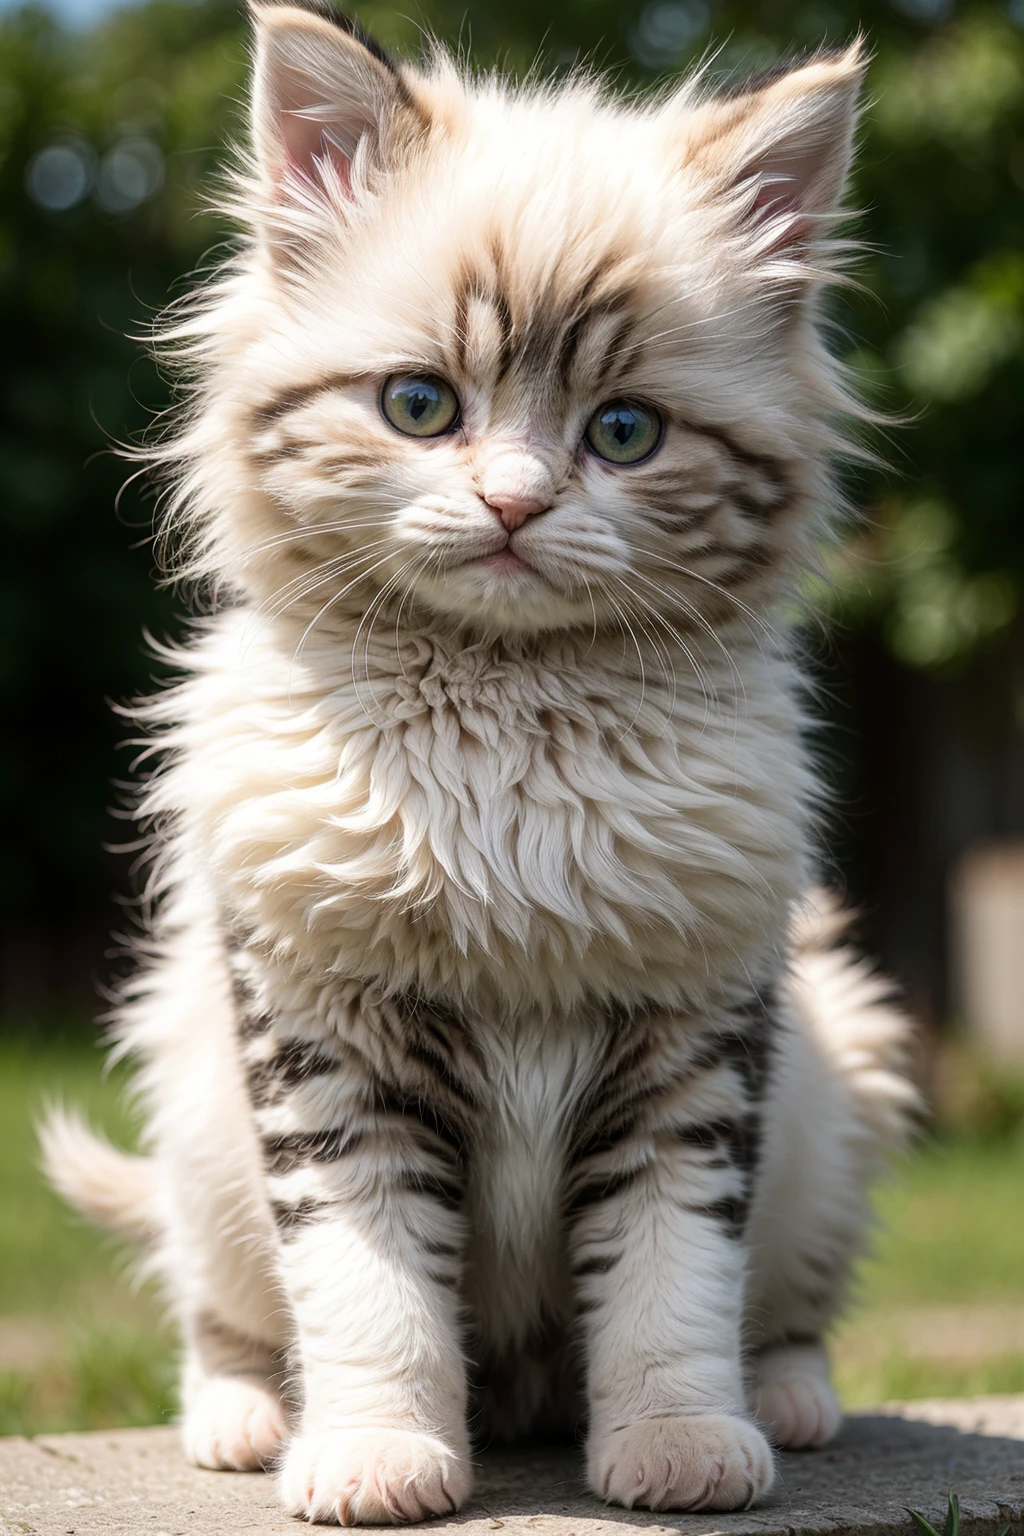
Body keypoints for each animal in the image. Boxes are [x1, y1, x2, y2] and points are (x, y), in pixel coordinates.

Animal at [44, 6, 914, 1523]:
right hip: (184, 1100)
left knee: (792, 1305)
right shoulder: (316, 1042)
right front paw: (379, 1457)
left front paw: (681, 1443)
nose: (514, 505)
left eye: (624, 432)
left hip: (839, 1082)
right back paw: (242, 1422)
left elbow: (675, 1276)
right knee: (217, 1316)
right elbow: (365, 1286)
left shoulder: (702, 1035)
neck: (509, 717)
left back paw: (793, 1403)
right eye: (418, 406)